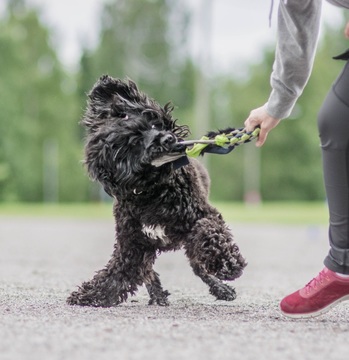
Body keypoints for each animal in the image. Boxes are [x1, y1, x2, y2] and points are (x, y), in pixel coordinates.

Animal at [66, 76, 246, 306]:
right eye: (134, 142)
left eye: (154, 123)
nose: (167, 138)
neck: (153, 190)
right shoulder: (133, 244)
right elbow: (116, 275)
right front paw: (89, 295)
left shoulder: (202, 214)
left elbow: (208, 230)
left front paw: (227, 263)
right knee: (151, 271)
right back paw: (158, 295)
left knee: (199, 265)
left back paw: (221, 287)